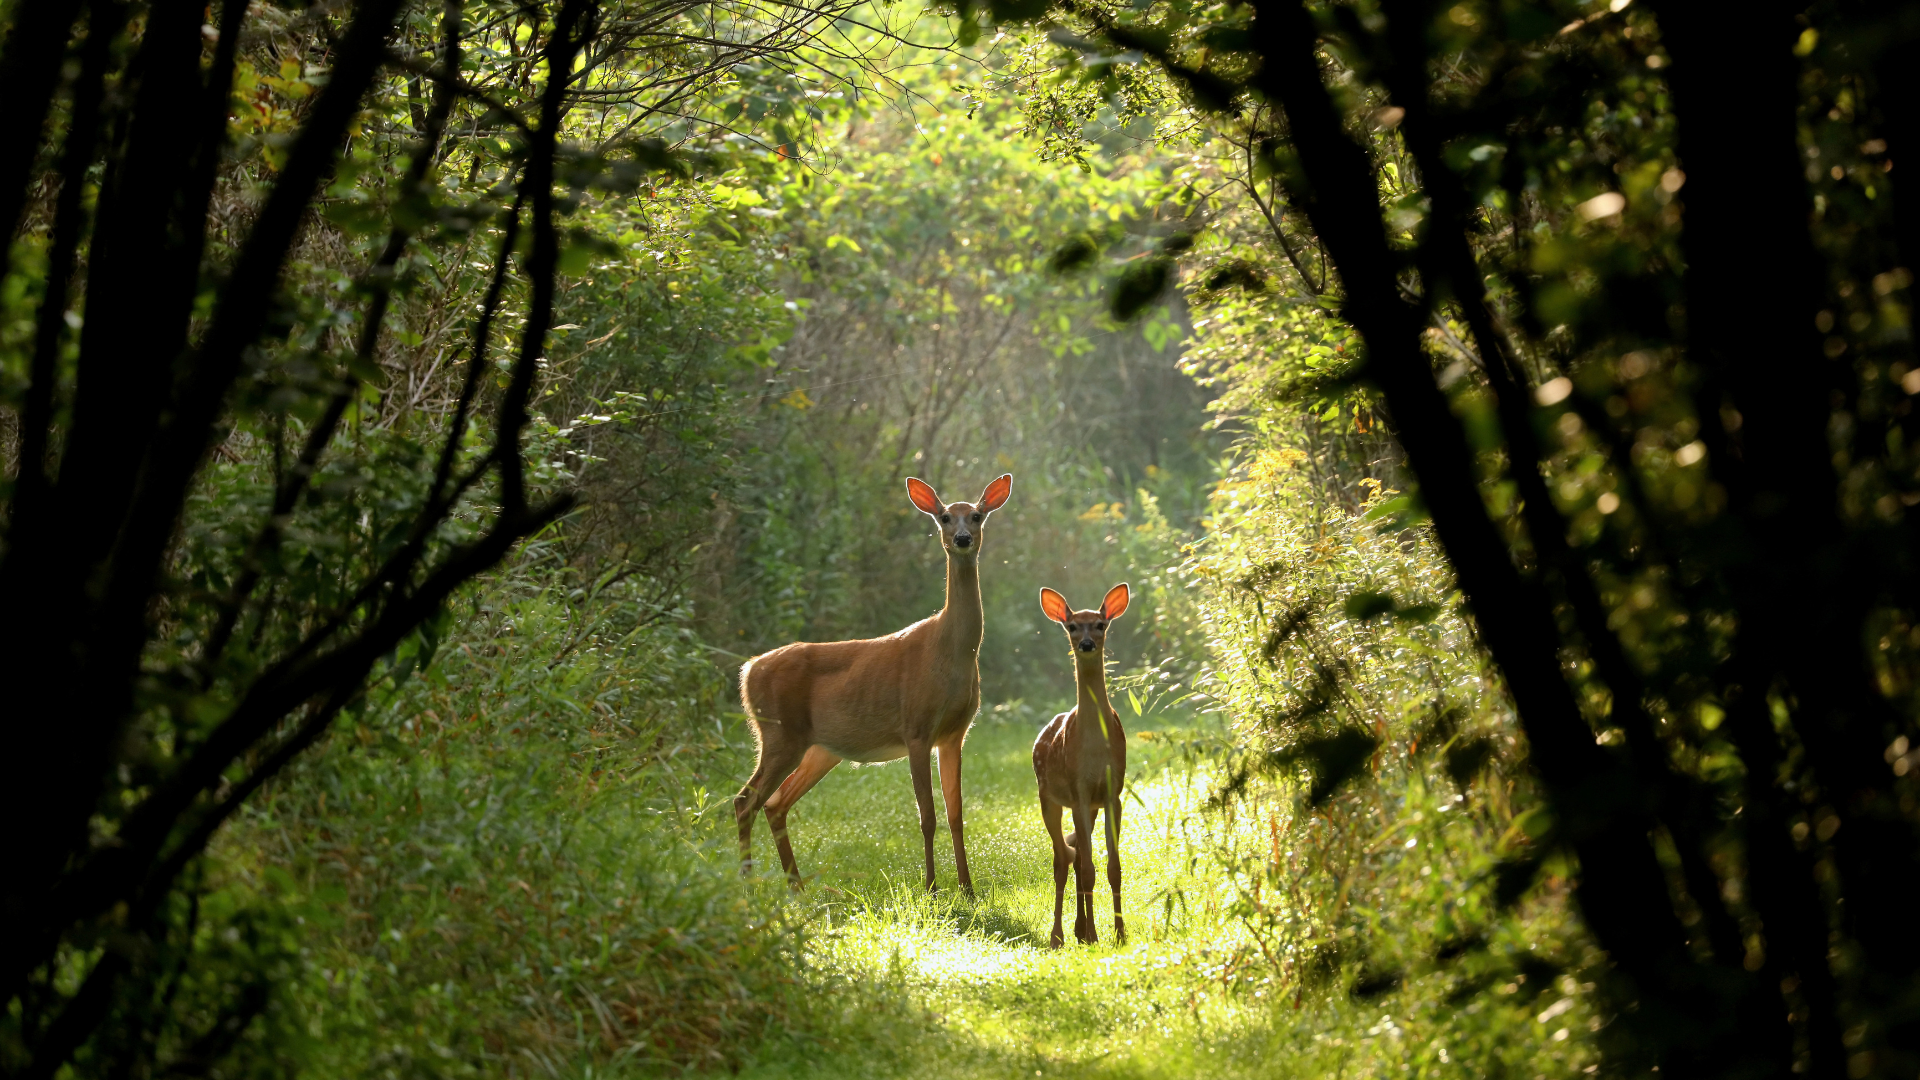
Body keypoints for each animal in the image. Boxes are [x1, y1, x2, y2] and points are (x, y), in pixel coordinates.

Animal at [729, 470, 1013, 891]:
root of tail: (748, 671)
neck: (950, 651)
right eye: (945, 516)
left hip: (819, 748)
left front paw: (968, 889)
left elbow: (956, 815)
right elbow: (927, 817)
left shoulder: (954, 734)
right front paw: (931, 888)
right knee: (745, 800)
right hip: (779, 733)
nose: (962, 539)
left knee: (775, 803)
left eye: (976, 516)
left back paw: (797, 888)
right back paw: (749, 885)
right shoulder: (916, 727)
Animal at [1029, 584, 1128, 945]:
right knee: (1062, 859)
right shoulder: (1079, 790)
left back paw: (1079, 929)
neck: (1095, 748)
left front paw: (1119, 934)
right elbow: (1088, 870)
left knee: (1074, 856)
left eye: (1100, 624)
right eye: (1072, 626)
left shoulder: (1112, 793)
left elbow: (1112, 869)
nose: (1086, 644)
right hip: (1049, 798)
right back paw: (1059, 935)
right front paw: (1098, 935)